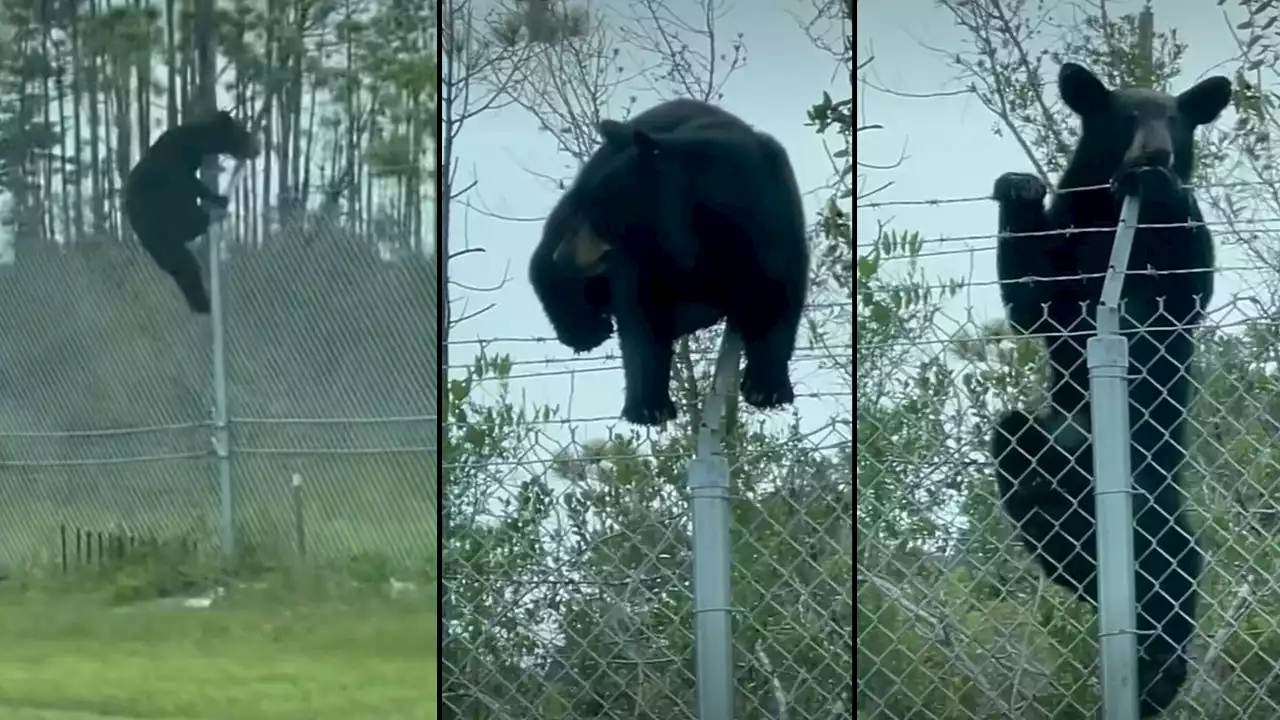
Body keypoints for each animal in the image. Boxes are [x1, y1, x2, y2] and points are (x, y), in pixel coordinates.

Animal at [124, 109, 259, 311]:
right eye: (242, 133)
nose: (257, 148)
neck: (195, 143)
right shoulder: (175, 165)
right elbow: (190, 184)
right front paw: (218, 198)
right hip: (158, 221)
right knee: (185, 254)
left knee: (182, 265)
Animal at [529, 101, 808, 425]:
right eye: (587, 209)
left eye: (597, 213)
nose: (562, 256)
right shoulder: (645, 261)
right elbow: (643, 315)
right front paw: (649, 407)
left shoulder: (771, 222)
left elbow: (777, 292)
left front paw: (767, 389)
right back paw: (585, 328)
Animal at [993, 63, 1223, 717]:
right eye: (1127, 118)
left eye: (1176, 119)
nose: (1155, 153)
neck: (1119, 214)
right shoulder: (1070, 236)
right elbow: (1032, 301)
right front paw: (1017, 187)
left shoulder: (1172, 274)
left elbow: (1190, 280)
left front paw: (1167, 188)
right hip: (1044, 444)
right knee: (1018, 452)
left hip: (1150, 494)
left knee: (1172, 563)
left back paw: (1159, 670)